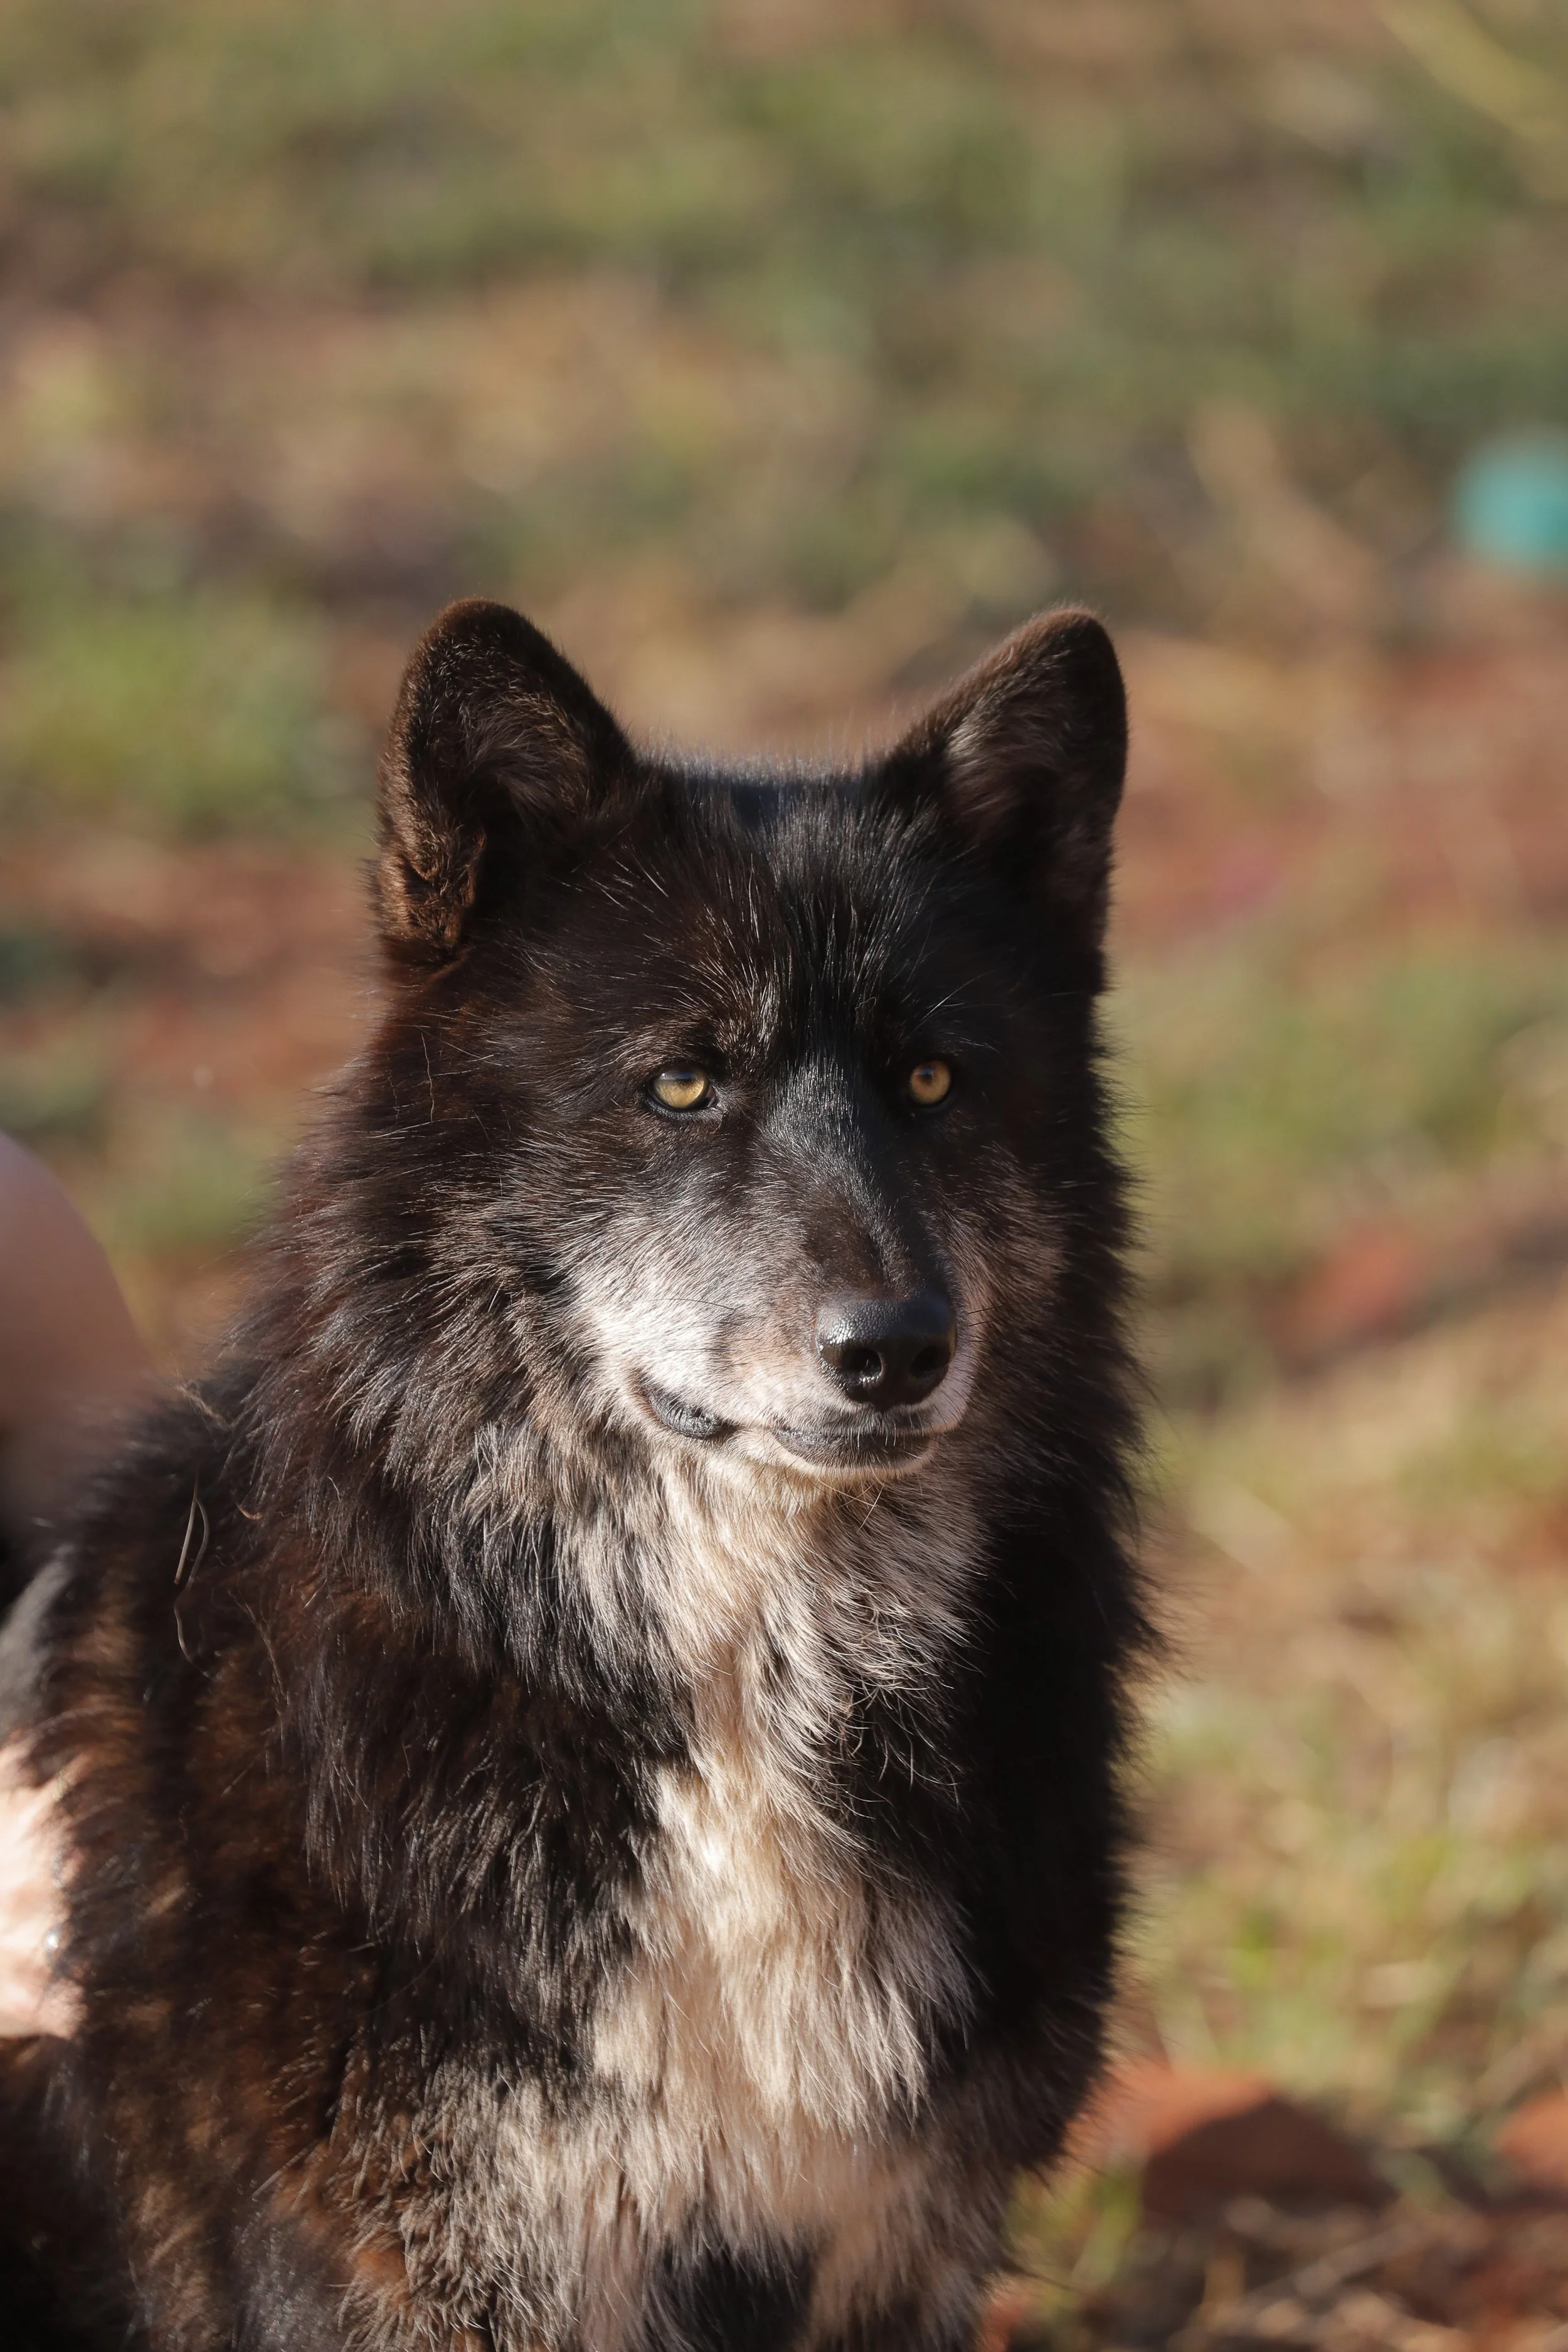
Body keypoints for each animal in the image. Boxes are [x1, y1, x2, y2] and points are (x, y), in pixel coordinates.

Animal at [0, 598, 1146, 2352]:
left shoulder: (898, 2248)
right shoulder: (440, 2276)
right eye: (680, 1082)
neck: (743, 1703)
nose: (896, 1347)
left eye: (934, 1079)